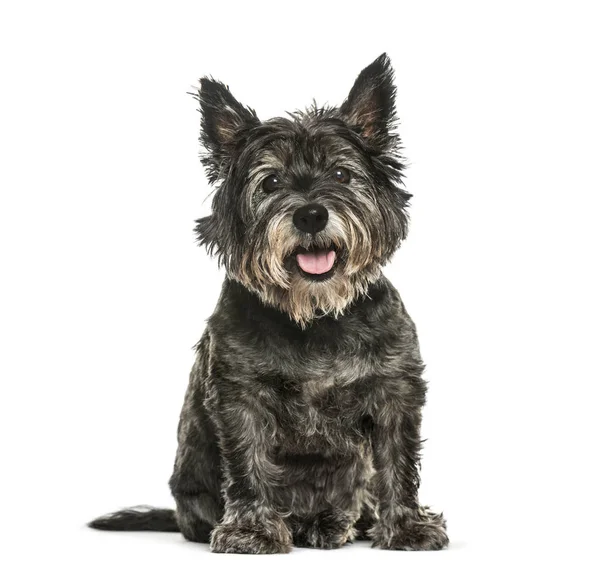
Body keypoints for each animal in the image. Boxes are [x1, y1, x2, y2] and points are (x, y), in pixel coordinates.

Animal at [88, 55, 446, 552]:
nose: (311, 214)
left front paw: (408, 525)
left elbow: (397, 460)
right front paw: (251, 528)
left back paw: (336, 523)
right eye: (270, 181)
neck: (314, 316)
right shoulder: (241, 396)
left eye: (341, 174)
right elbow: (247, 463)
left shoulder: (395, 391)